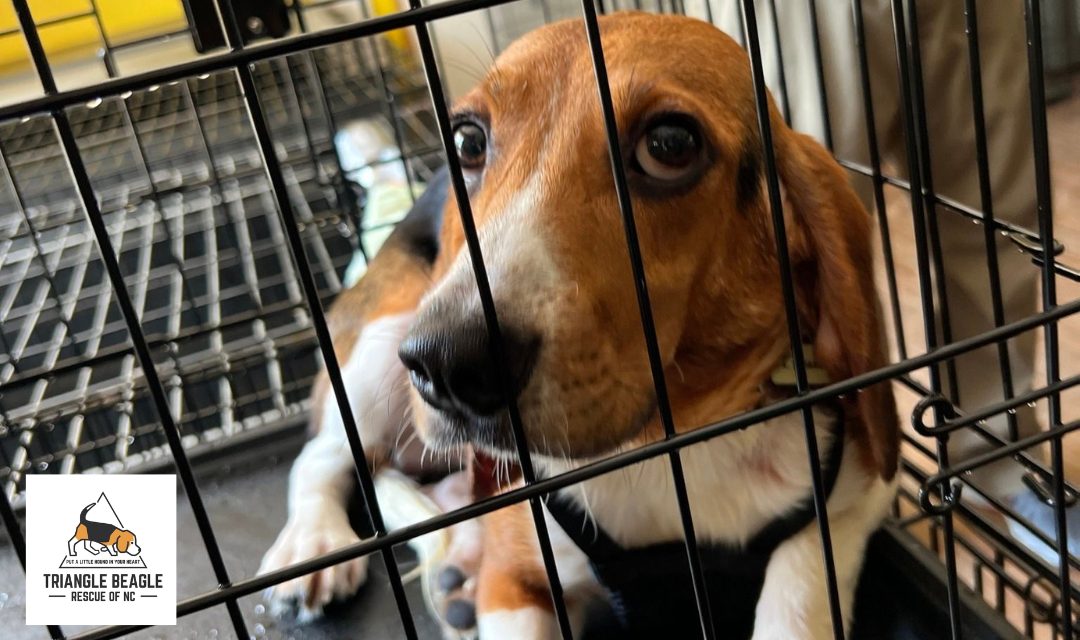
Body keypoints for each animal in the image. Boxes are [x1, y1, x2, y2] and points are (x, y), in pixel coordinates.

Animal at [259, 11, 894, 638]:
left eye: (669, 145)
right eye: (467, 141)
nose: (449, 363)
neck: (664, 448)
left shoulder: (852, 497)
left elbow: (798, 590)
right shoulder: (512, 581)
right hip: (384, 345)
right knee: (326, 455)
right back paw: (313, 543)